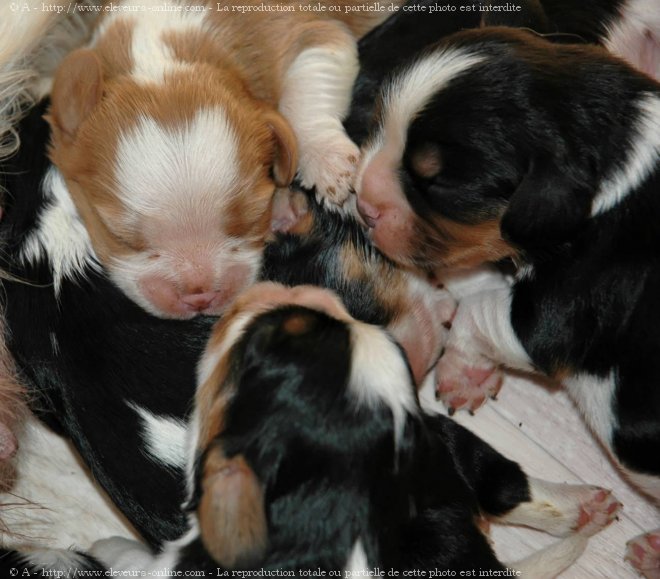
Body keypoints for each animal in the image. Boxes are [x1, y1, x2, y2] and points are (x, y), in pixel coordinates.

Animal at [43, 0, 402, 320]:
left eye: (254, 218)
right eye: (119, 238)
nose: (199, 294)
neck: (163, 48)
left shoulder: (312, 36)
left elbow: (304, 98)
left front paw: (330, 164)